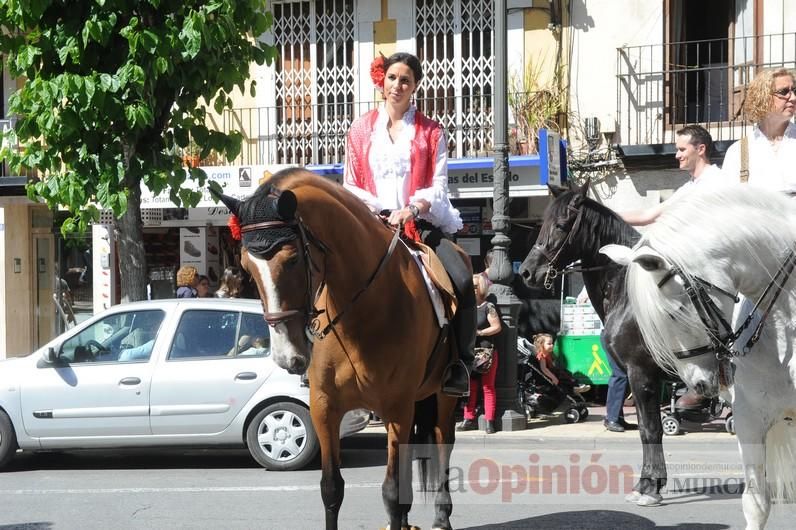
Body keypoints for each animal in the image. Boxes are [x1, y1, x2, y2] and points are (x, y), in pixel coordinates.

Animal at [218, 167, 466, 524]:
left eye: (292, 260)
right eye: (247, 267)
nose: (287, 356)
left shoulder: (397, 408)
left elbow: (392, 494)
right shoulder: (324, 407)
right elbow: (331, 488)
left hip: (442, 397)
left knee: (444, 441)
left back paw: (442, 517)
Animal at [520, 180, 668, 504]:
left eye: (561, 225)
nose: (526, 272)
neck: (628, 291)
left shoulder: (641, 373)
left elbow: (650, 430)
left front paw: (650, 487)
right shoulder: (647, 376)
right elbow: (649, 429)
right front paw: (649, 482)